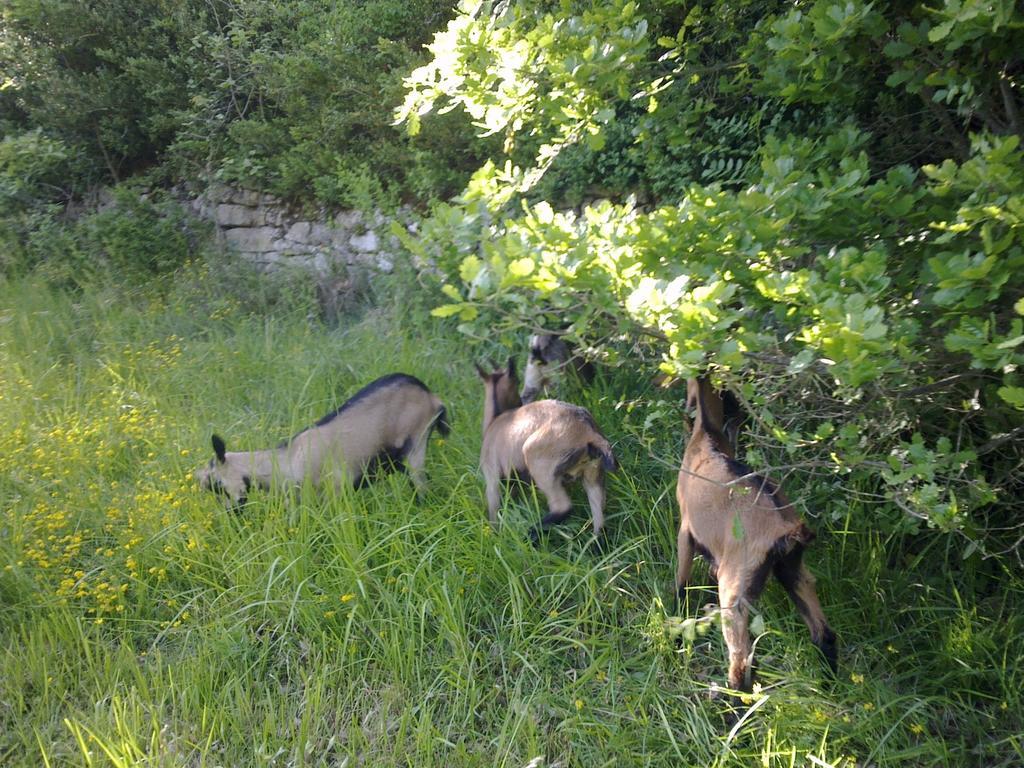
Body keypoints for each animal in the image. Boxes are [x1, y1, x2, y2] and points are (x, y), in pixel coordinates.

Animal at [194, 374, 448, 507]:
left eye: (217, 483)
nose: (232, 512)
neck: (287, 459)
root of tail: (431, 397)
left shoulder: (334, 491)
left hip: (416, 445)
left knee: (422, 485)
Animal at [475, 360, 610, 540]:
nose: (521, 401)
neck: (494, 420)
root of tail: (588, 431)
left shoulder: (492, 476)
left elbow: (494, 509)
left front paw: (495, 536)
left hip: (539, 465)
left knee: (562, 507)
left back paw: (531, 535)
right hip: (593, 473)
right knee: (599, 520)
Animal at [675, 376, 835, 692]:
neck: (706, 439)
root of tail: (786, 529)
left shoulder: (686, 530)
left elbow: (680, 580)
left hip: (737, 587)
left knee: (742, 660)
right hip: (791, 570)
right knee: (823, 633)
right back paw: (831, 684)